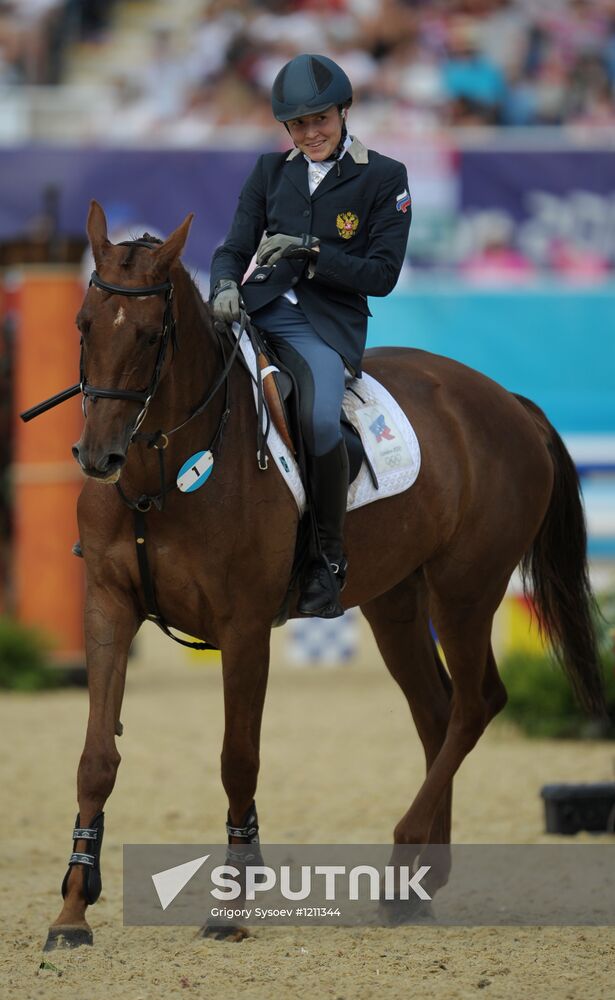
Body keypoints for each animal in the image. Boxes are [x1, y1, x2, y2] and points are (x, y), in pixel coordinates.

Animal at [43, 201, 608, 944]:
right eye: (83, 324)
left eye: (149, 333)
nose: (97, 455)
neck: (159, 472)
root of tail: (508, 401)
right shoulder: (109, 606)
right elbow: (94, 760)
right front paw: (73, 909)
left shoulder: (244, 626)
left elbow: (238, 758)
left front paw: (231, 906)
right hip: (396, 602)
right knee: (436, 710)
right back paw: (415, 884)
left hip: (465, 591)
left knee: (475, 703)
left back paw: (405, 853)